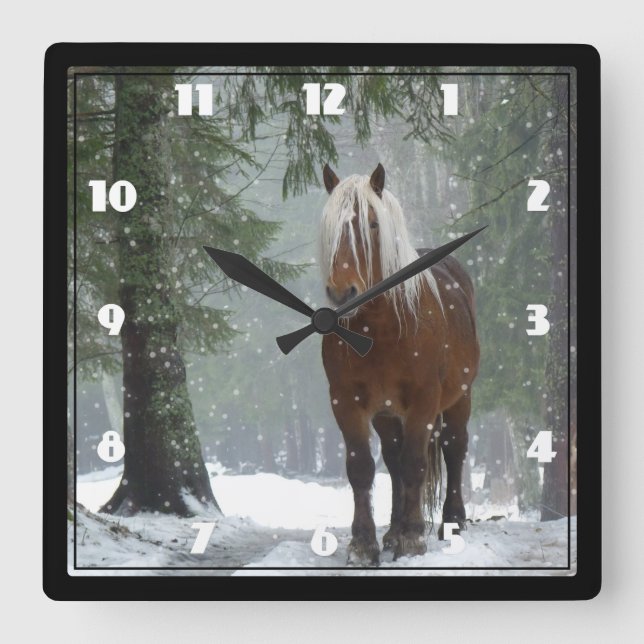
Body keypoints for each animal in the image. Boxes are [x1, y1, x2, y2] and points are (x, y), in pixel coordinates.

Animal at [319, 163, 480, 564]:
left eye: (373, 224)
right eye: (329, 227)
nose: (342, 292)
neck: (379, 329)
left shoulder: (424, 400)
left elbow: (415, 464)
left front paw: (412, 538)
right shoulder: (347, 402)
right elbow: (362, 468)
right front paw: (364, 544)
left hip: (460, 398)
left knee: (454, 449)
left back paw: (450, 522)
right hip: (387, 413)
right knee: (392, 462)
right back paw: (391, 531)